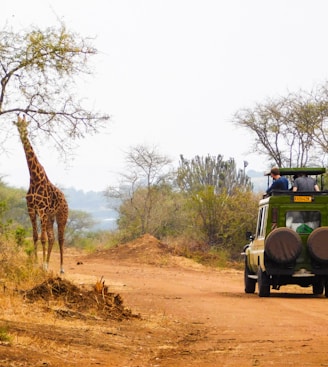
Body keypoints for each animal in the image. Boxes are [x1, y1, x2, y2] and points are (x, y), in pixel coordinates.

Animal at [14, 115, 68, 274]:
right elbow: (35, 237)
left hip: (61, 217)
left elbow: (42, 238)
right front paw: (36, 263)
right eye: (17, 125)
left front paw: (42, 265)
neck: (34, 178)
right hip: (50, 218)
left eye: (26, 125)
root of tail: (65, 199)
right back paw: (48, 264)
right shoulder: (31, 209)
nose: (23, 133)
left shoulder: (42, 209)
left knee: (61, 239)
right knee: (52, 238)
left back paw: (61, 268)